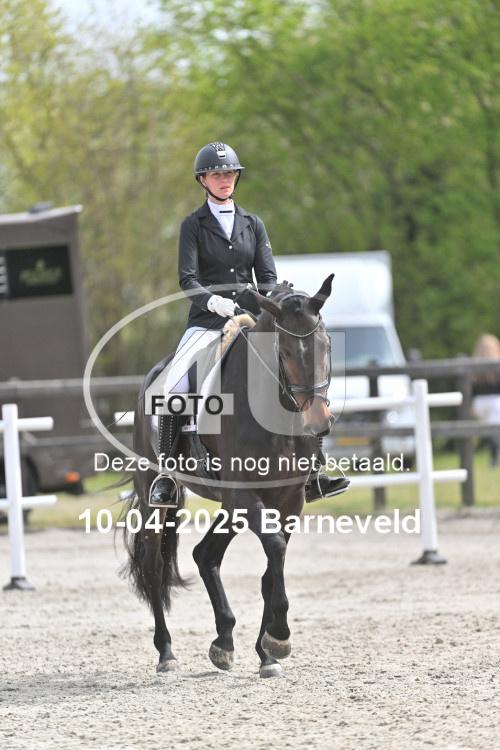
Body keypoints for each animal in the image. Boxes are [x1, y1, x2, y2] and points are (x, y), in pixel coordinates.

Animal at [122, 275, 334, 678]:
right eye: (283, 352)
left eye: (326, 345)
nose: (318, 422)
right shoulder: (244, 496)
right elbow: (275, 548)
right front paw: (280, 637)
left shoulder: (289, 499)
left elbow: (271, 568)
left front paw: (267, 651)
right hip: (157, 498)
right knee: (155, 565)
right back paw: (167, 652)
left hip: (231, 506)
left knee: (205, 555)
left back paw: (223, 642)